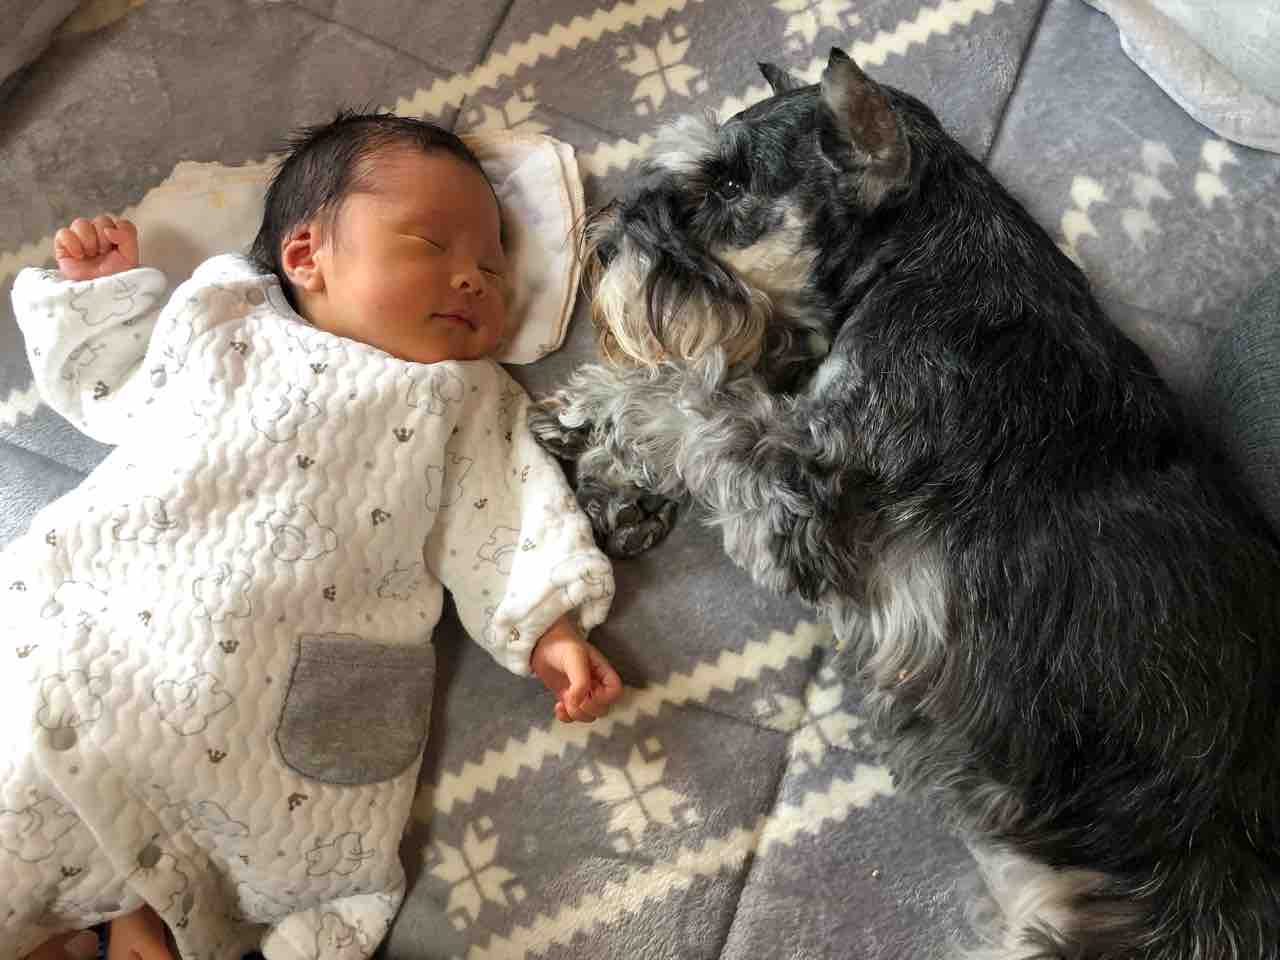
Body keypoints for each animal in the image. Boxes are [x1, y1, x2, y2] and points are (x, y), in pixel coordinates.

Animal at [530, 48, 1280, 960]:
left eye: (729, 185)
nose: (602, 243)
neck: (918, 261)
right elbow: (719, 384)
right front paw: (606, 465)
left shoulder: (800, 498)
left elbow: (693, 396)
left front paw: (601, 417)